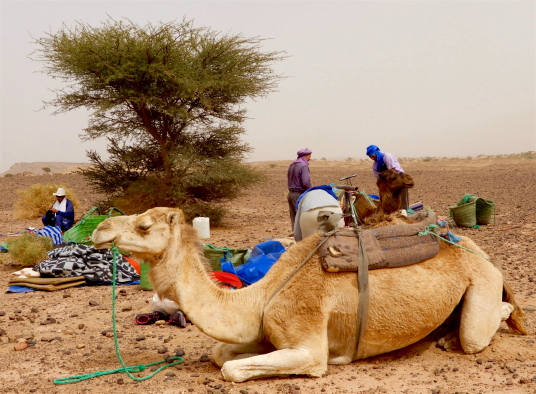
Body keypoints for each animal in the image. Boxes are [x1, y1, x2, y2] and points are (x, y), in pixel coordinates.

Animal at [91, 206, 524, 382]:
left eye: (144, 226)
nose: (99, 229)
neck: (260, 296)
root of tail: (479, 250)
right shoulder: (265, 331)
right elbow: (220, 354)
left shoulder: (309, 343)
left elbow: (231, 369)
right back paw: (443, 336)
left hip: (482, 281)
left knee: (480, 329)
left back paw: (469, 332)